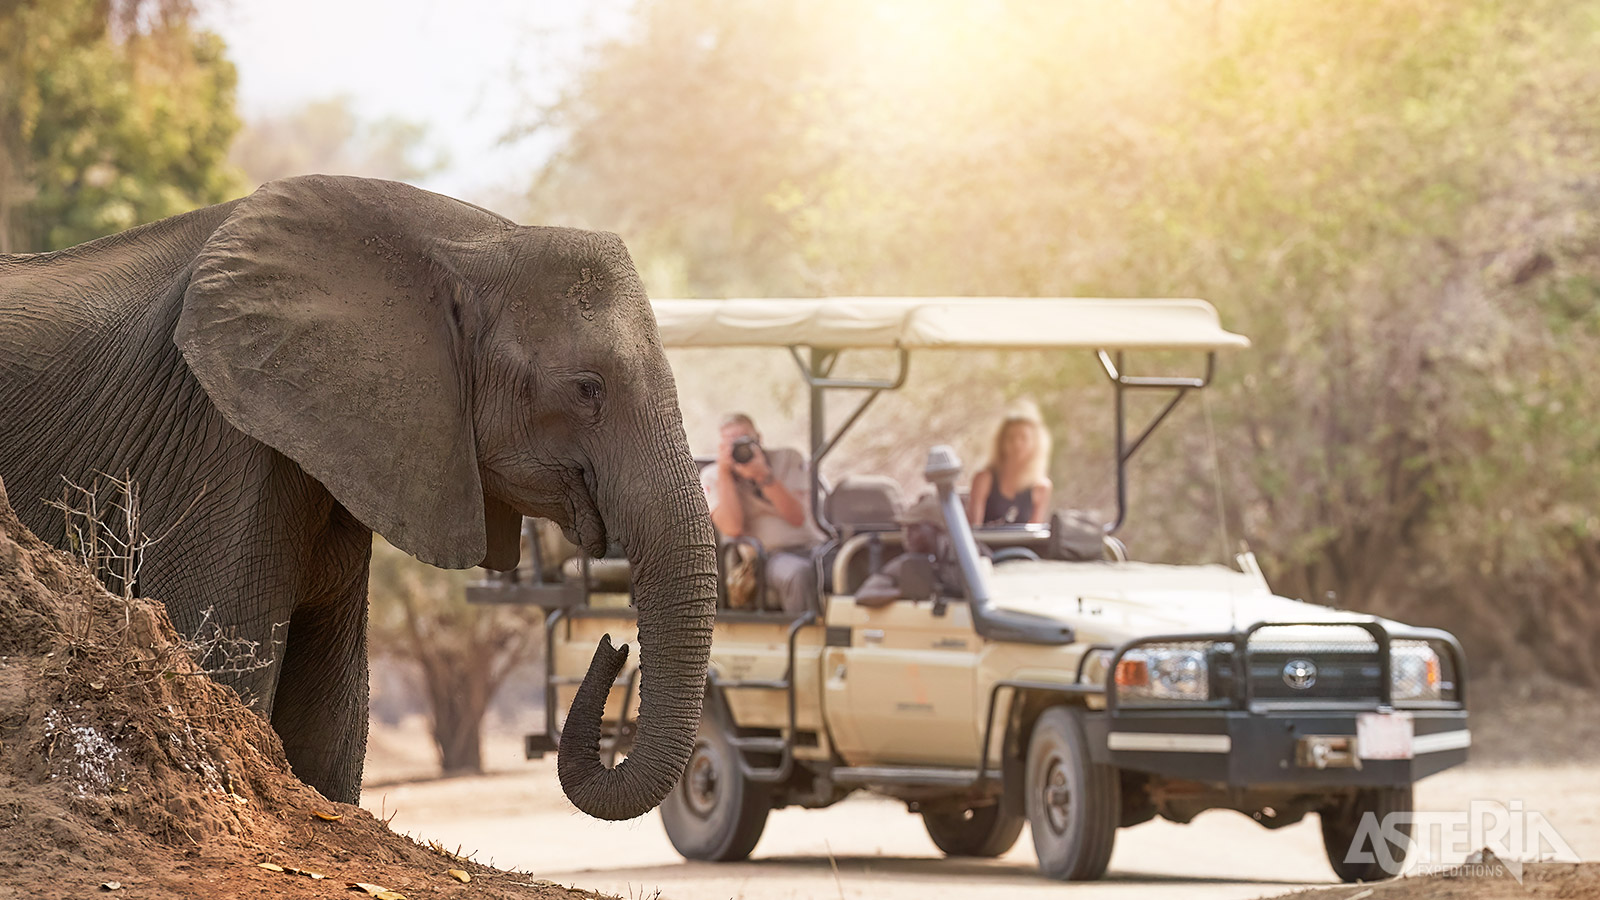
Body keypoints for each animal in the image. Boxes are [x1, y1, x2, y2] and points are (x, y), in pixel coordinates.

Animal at [0, 171, 713, 816]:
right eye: (588, 389)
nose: (613, 645)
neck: (472, 243)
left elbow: (330, 723)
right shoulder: (212, 437)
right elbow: (225, 671)